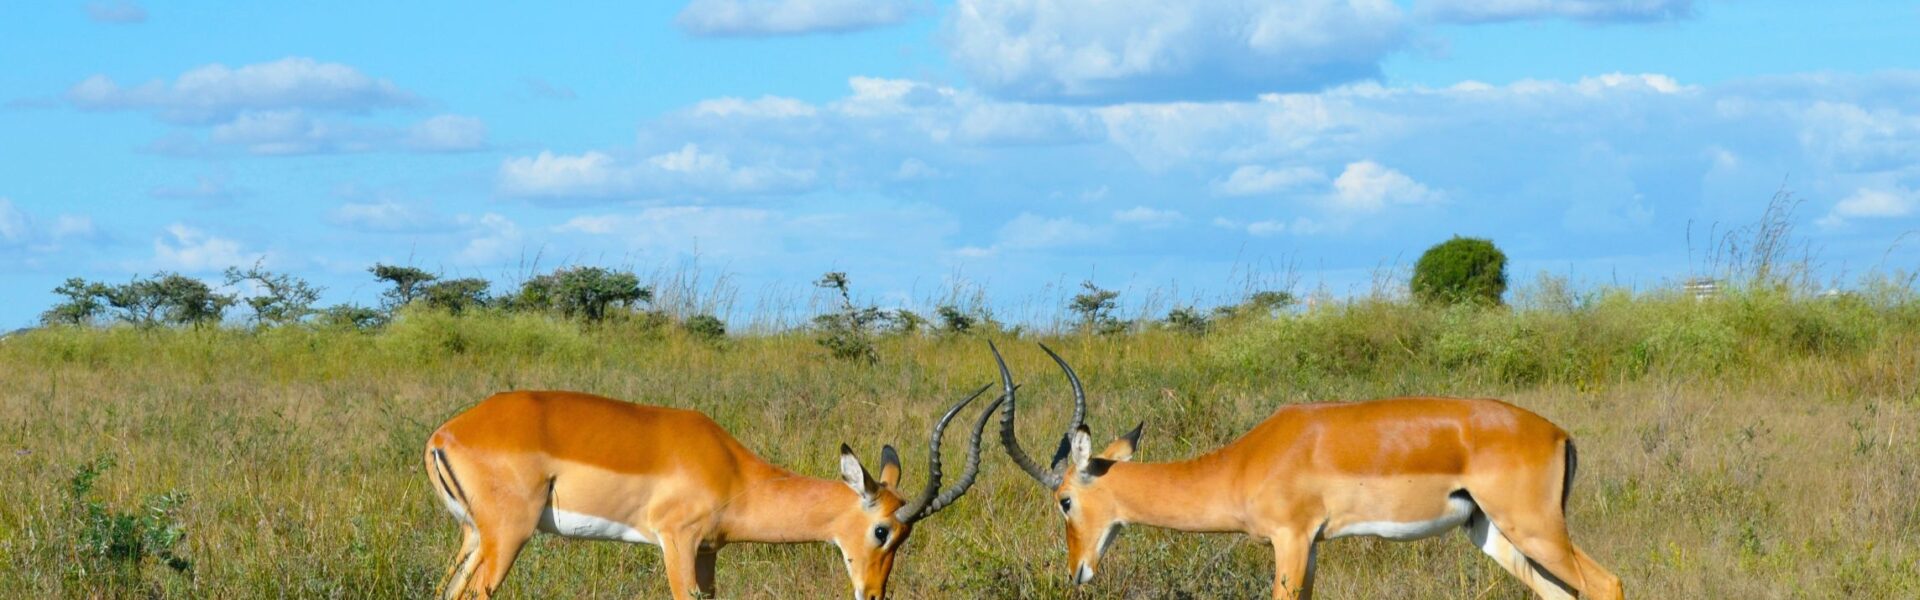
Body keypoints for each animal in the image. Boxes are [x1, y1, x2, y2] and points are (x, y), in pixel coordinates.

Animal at [423, 385, 1004, 600]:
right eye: (882, 530)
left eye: (905, 538)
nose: (874, 594)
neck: (735, 473)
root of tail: (443, 435)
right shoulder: (676, 543)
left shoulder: (707, 553)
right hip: (508, 537)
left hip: (474, 538)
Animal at [990, 342, 1623, 600]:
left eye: (1063, 501)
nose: (1076, 572)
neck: (1245, 461)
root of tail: (1558, 433)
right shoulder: (1312, 546)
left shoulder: (1291, 539)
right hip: (1490, 532)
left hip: (1535, 527)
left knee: (1607, 583)